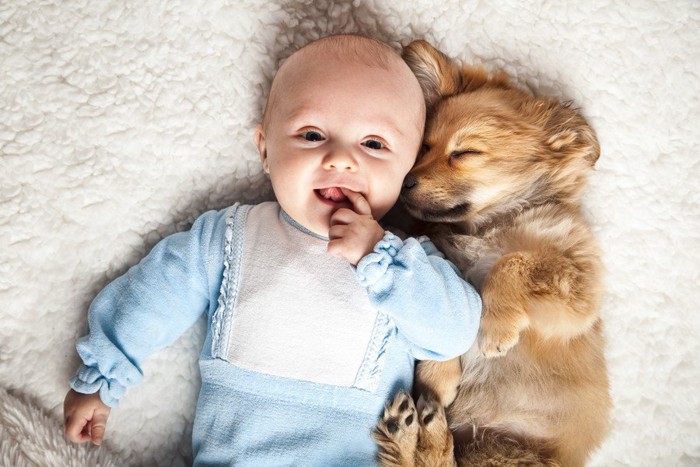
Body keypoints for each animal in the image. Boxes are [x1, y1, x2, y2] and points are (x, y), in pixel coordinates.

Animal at [374, 41, 608, 467]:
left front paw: (495, 326)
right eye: (424, 147)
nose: (404, 184)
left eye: (465, 152)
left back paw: (421, 432)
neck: (486, 226)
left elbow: (513, 262)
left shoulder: (577, 292)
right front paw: (438, 376)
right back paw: (413, 432)